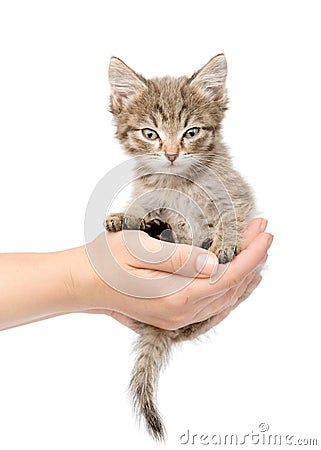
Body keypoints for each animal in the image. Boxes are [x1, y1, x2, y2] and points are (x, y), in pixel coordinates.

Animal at [105, 54, 255, 442]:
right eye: (150, 134)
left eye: (191, 132)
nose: (172, 154)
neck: (177, 181)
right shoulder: (151, 194)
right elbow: (150, 207)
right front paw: (125, 216)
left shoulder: (235, 194)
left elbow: (230, 217)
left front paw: (223, 242)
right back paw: (155, 227)